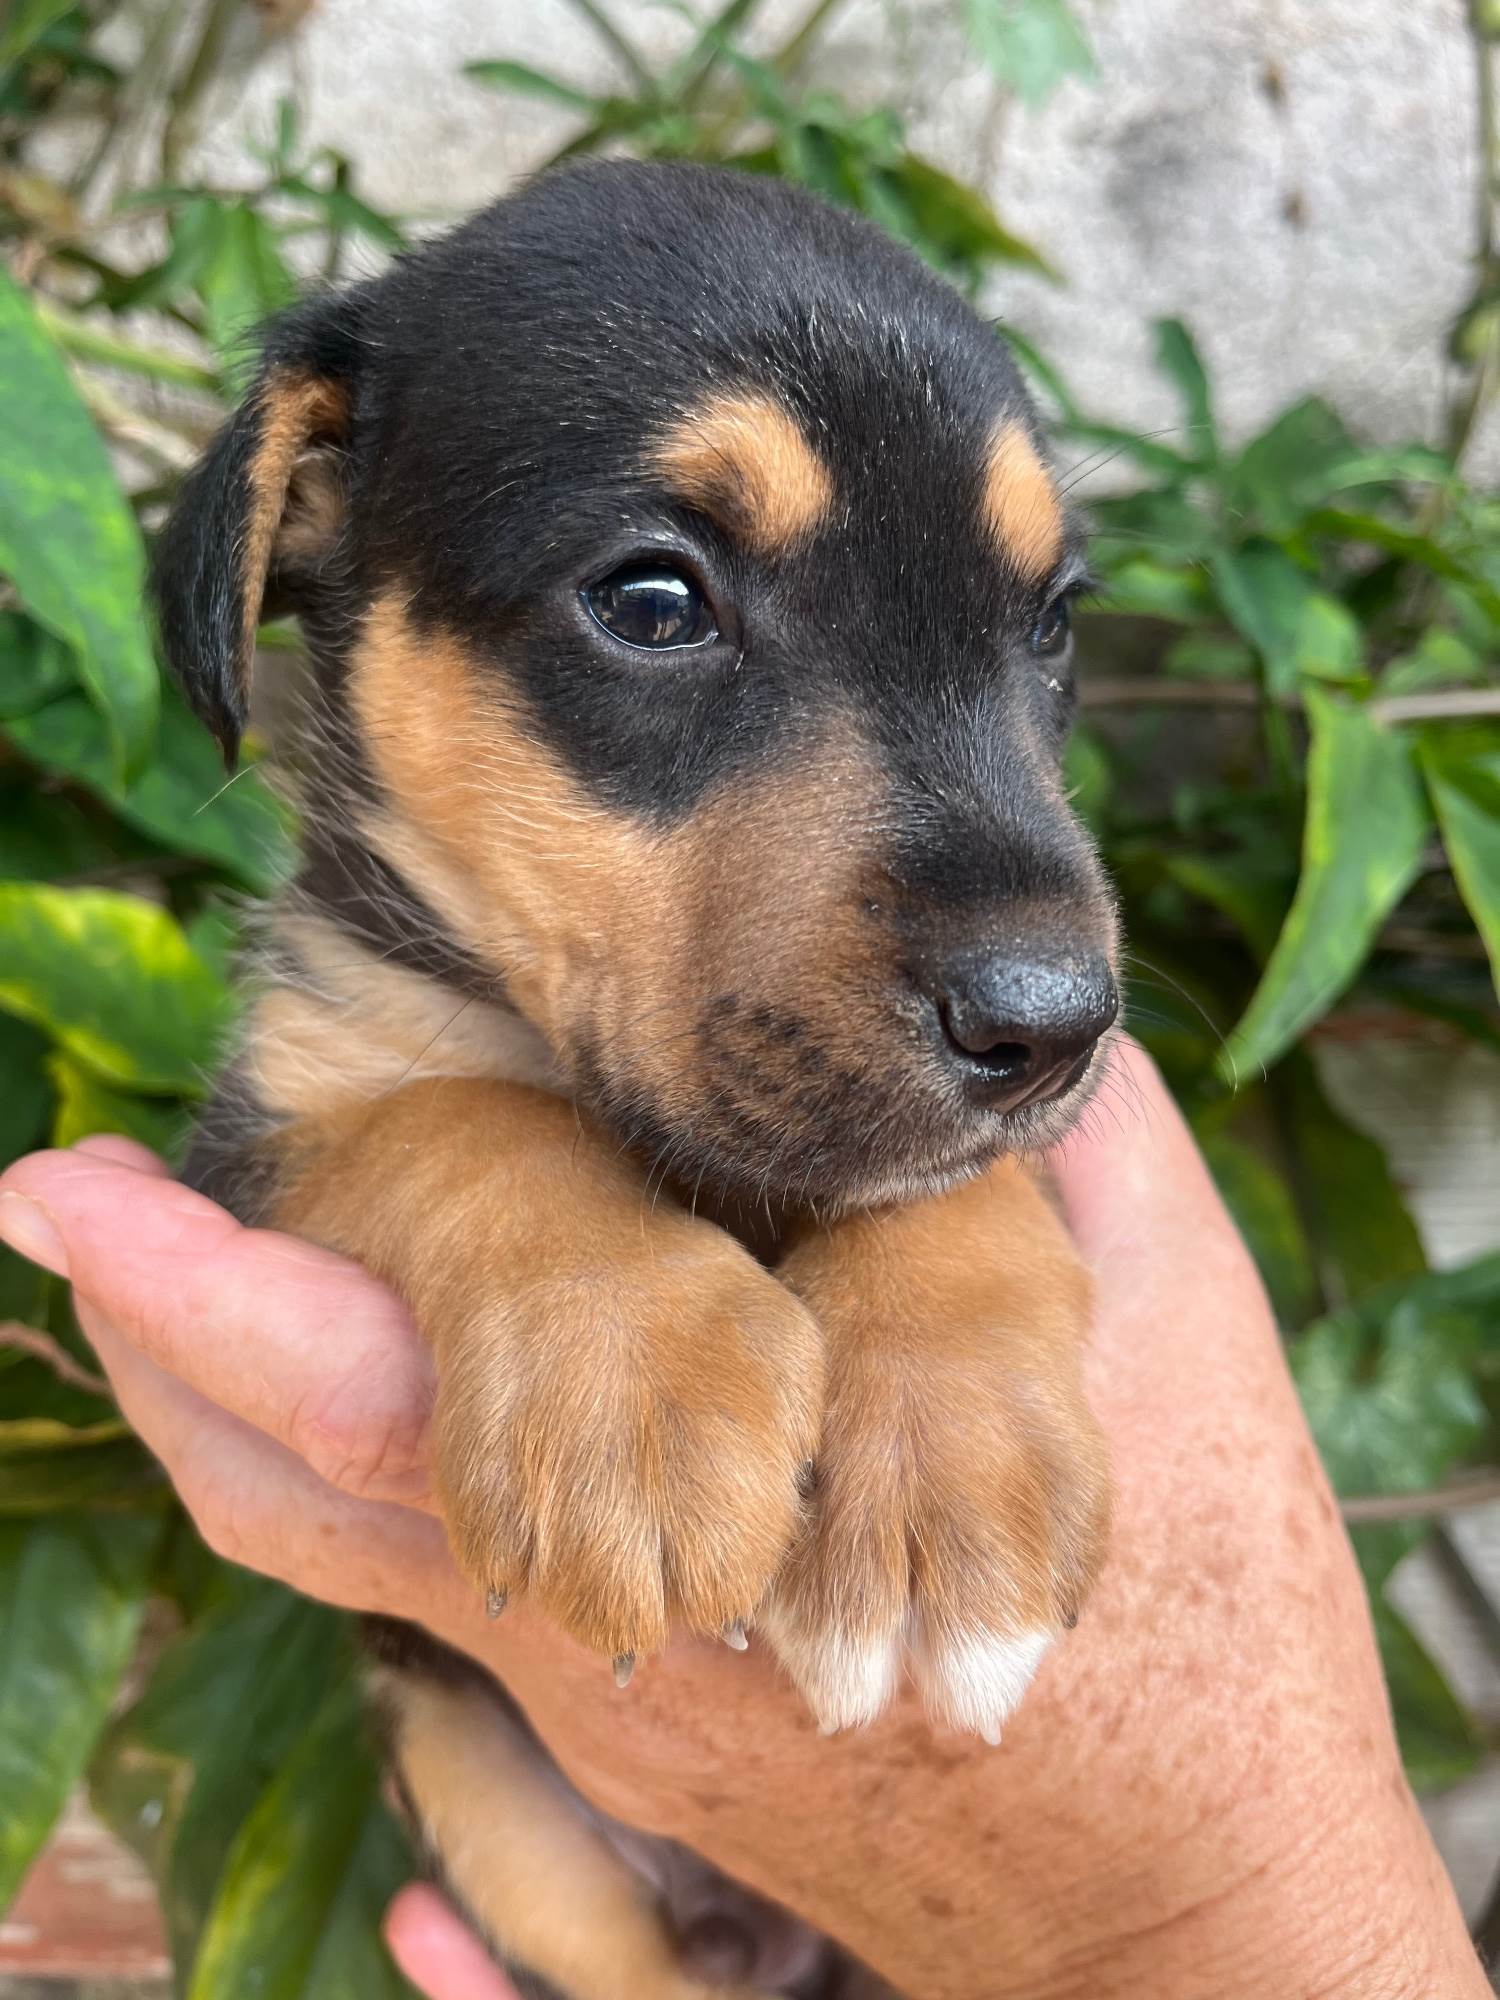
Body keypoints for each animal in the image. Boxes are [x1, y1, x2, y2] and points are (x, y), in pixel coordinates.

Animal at [152, 159, 1118, 1998]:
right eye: (654, 601)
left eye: (1049, 627)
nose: (1056, 1025)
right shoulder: (274, 1112)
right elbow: (470, 1114)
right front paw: (634, 1394)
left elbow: (957, 1193)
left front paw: (951, 1485)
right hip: (492, 1806)